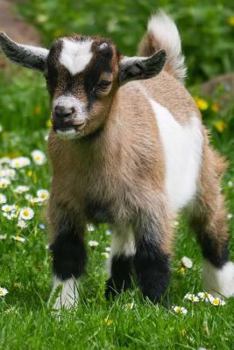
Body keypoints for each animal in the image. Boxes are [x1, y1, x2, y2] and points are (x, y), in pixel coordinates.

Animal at [0, 11, 233, 308]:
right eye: (49, 78)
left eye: (103, 83)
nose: (63, 112)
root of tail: (169, 75)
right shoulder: (64, 203)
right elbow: (68, 254)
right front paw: (62, 308)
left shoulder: (153, 206)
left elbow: (153, 258)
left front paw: (156, 308)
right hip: (123, 210)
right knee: (124, 245)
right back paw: (116, 294)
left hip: (204, 175)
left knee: (212, 228)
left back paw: (219, 294)